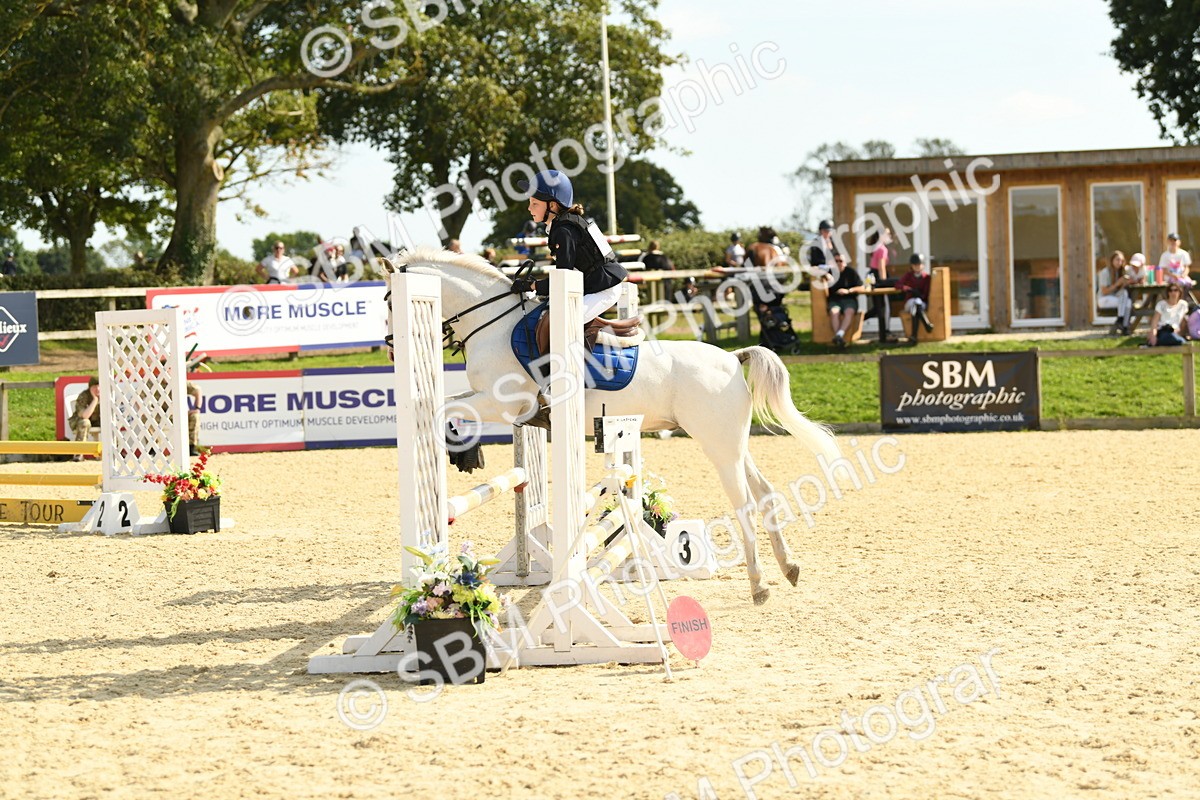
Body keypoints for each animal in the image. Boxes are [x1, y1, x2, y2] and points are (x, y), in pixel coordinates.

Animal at [383, 247, 841, 605]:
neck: (493, 324)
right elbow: (447, 405)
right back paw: (788, 567)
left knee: (745, 502)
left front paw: (462, 450)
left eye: (388, 302)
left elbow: (444, 410)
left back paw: (759, 585)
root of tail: (732, 356)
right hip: (733, 443)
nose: (389, 346)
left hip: (717, 445)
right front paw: (463, 450)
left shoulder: (504, 402)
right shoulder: (500, 405)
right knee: (763, 492)